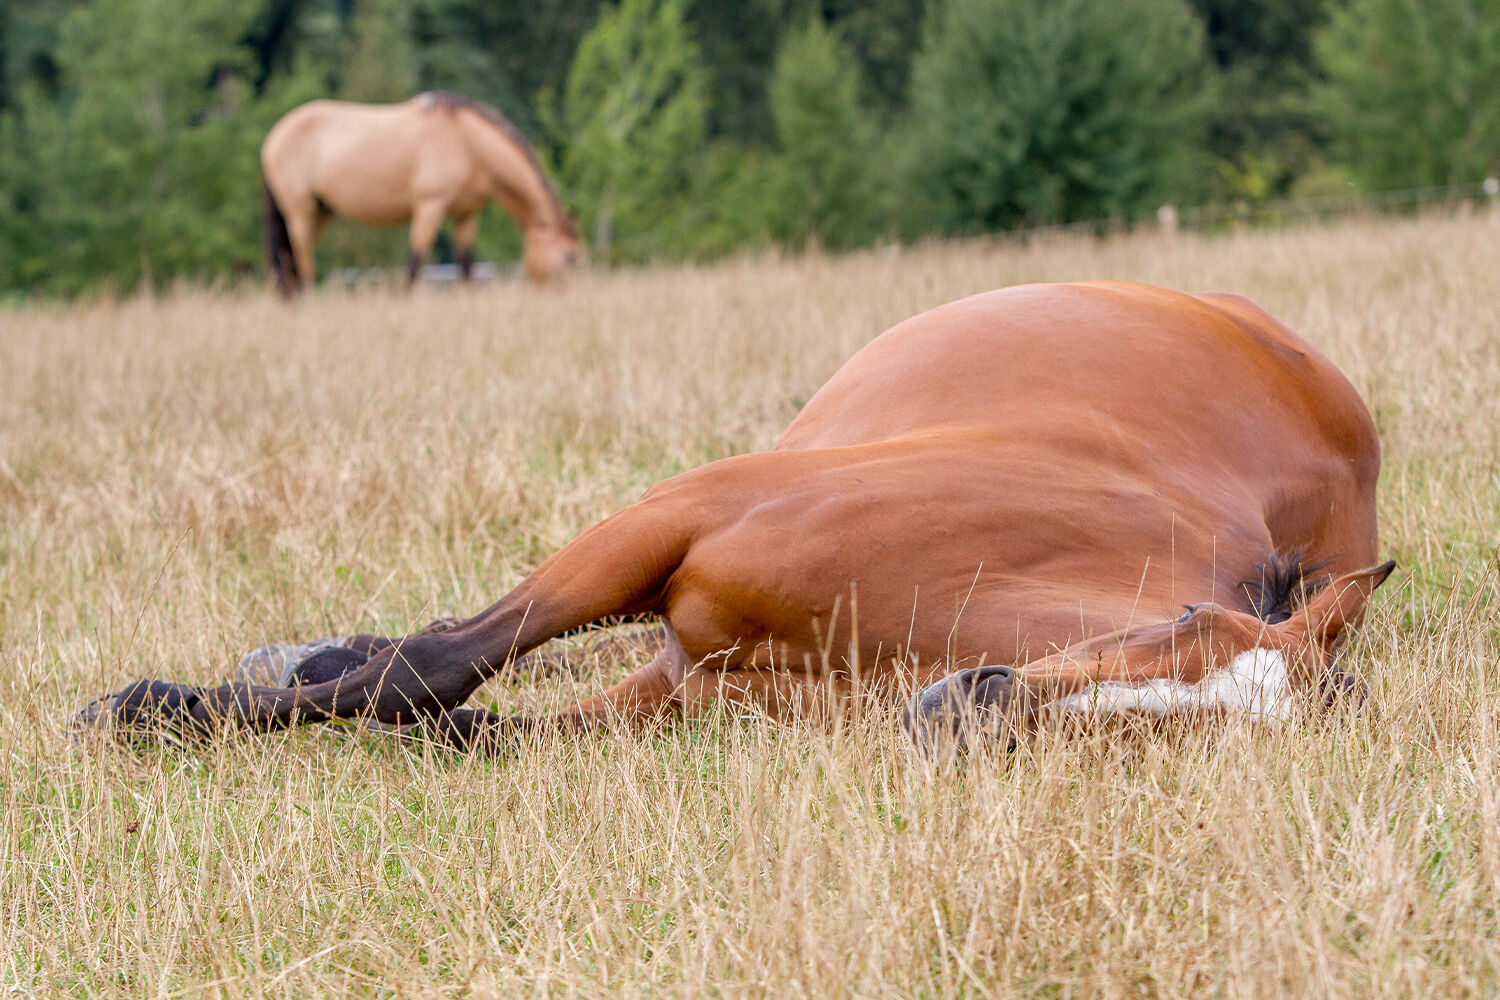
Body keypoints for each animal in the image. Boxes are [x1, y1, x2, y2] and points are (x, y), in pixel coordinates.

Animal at [79, 281, 1392, 749]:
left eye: (1186, 740)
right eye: (1180, 626)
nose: (968, 706)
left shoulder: (677, 687)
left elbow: (470, 723)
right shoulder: (672, 517)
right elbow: (437, 667)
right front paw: (151, 710)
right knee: (437, 639)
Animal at [261, 91, 582, 295]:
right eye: (569, 258)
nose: (570, 296)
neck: (469, 145)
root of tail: (273, 137)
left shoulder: (466, 213)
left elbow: (466, 266)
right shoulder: (430, 205)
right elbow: (415, 264)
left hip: (321, 210)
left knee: (290, 258)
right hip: (299, 209)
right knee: (301, 258)